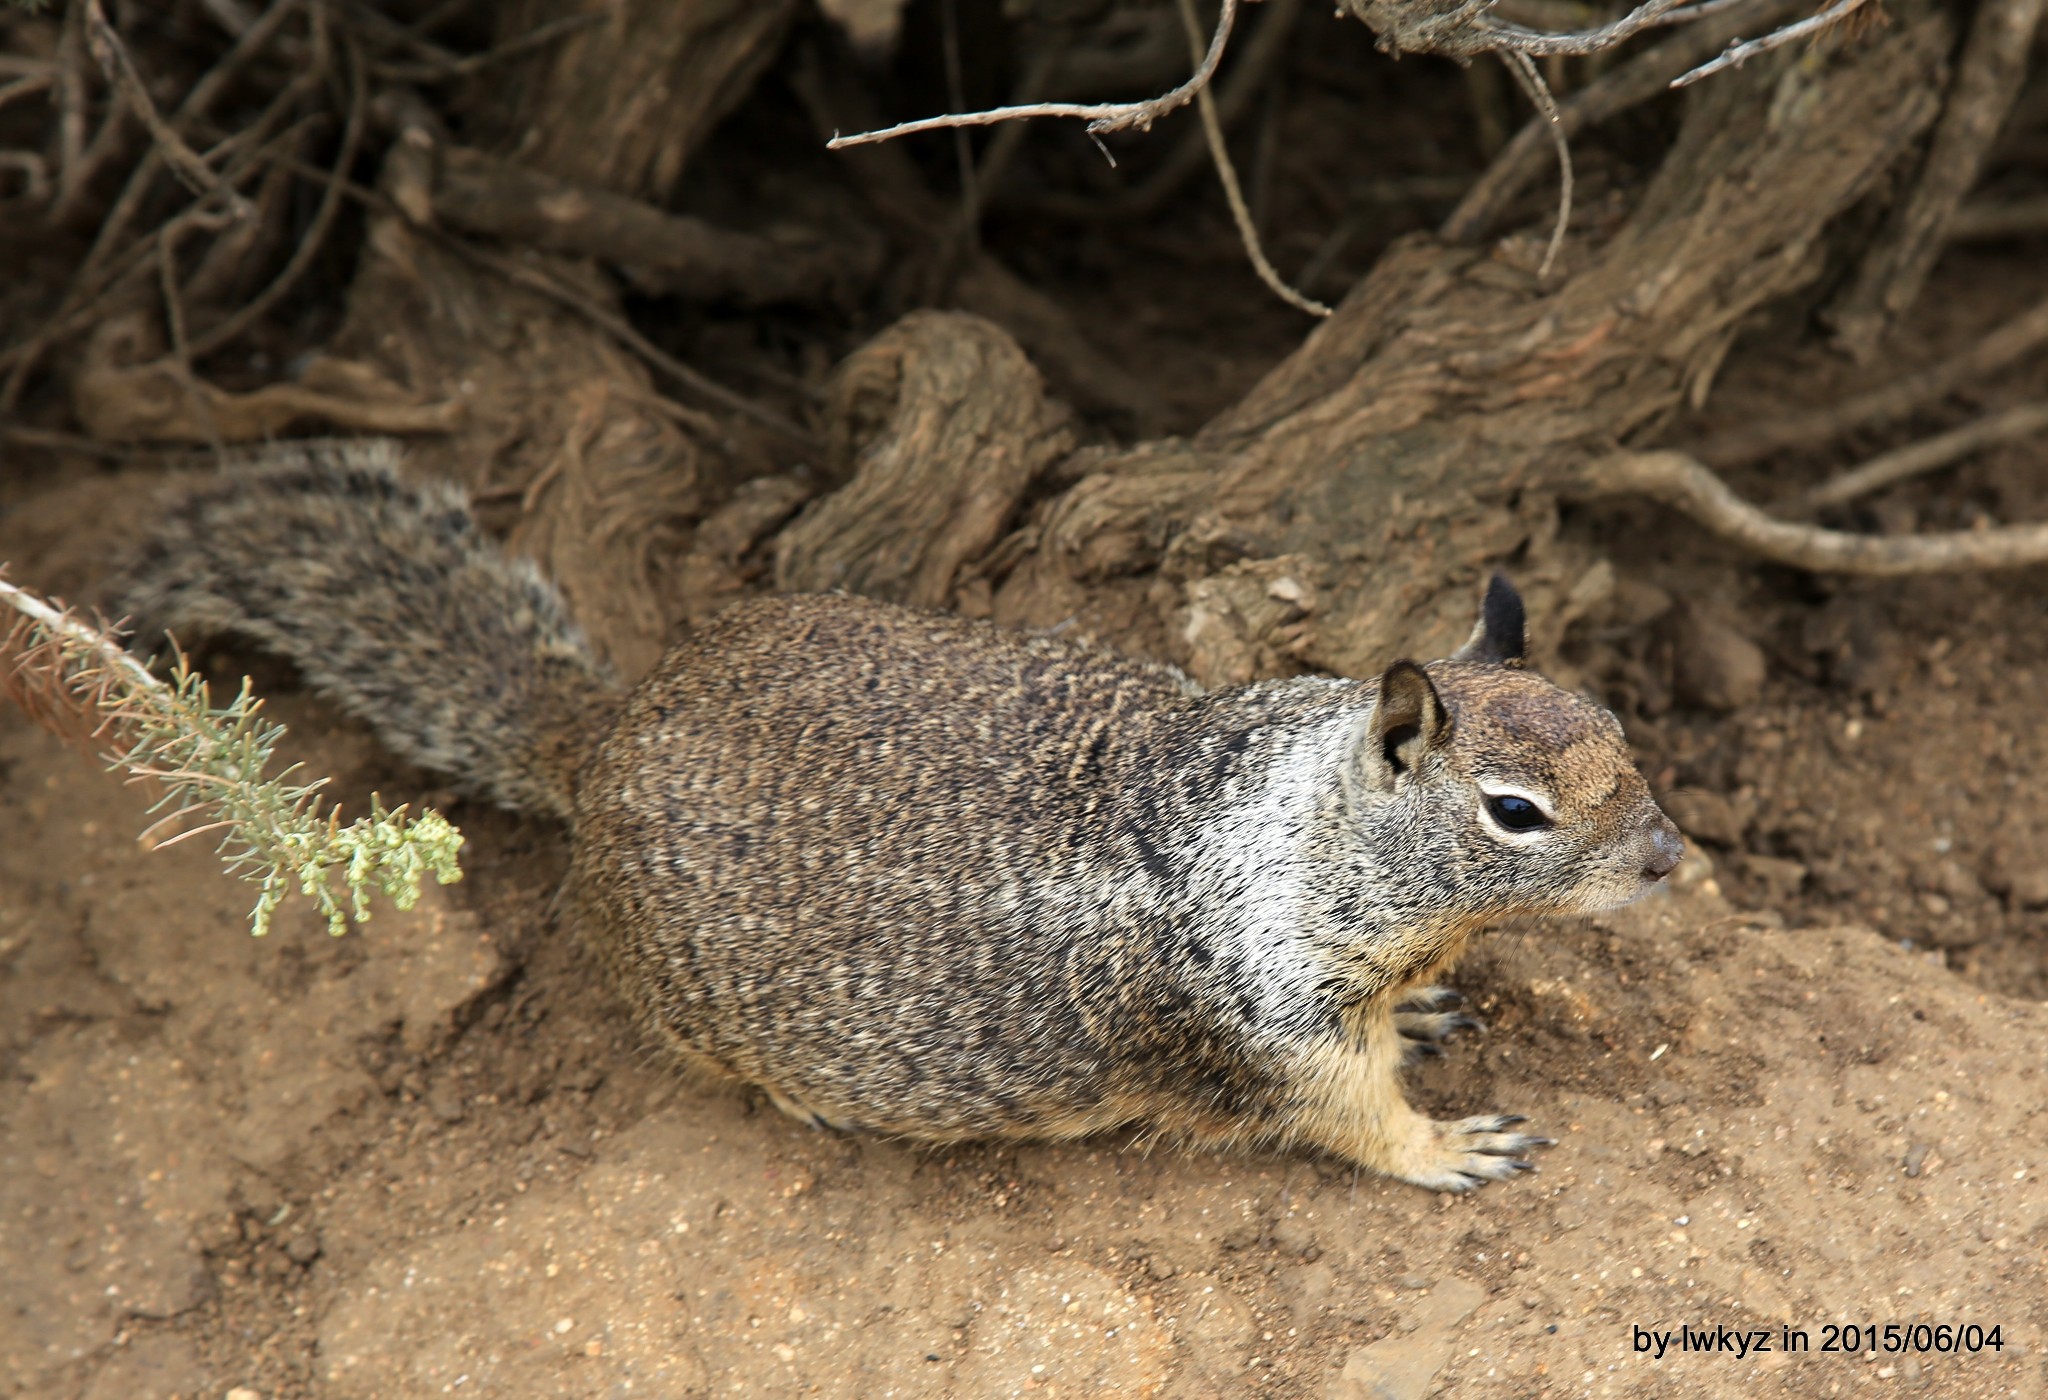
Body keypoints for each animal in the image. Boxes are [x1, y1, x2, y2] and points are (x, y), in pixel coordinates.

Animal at [116, 442, 1679, 1187]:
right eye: (1515, 810)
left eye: (1619, 729)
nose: (1672, 857)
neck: (1296, 833)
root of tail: (600, 736)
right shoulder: (1267, 1027)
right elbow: (1351, 1119)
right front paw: (1448, 1144)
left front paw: (1427, 1016)